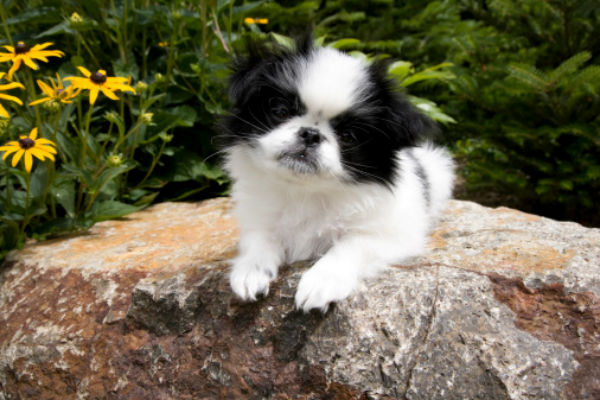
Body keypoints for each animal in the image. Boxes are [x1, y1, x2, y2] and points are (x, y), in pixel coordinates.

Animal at [218, 37, 452, 312]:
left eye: (348, 136)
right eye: (280, 111)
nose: (310, 134)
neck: (304, 191)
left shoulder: (392, 233)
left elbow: (351, 245)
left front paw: (322, 281)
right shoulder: (258, 219)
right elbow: (258, 241)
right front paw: (250, 271)